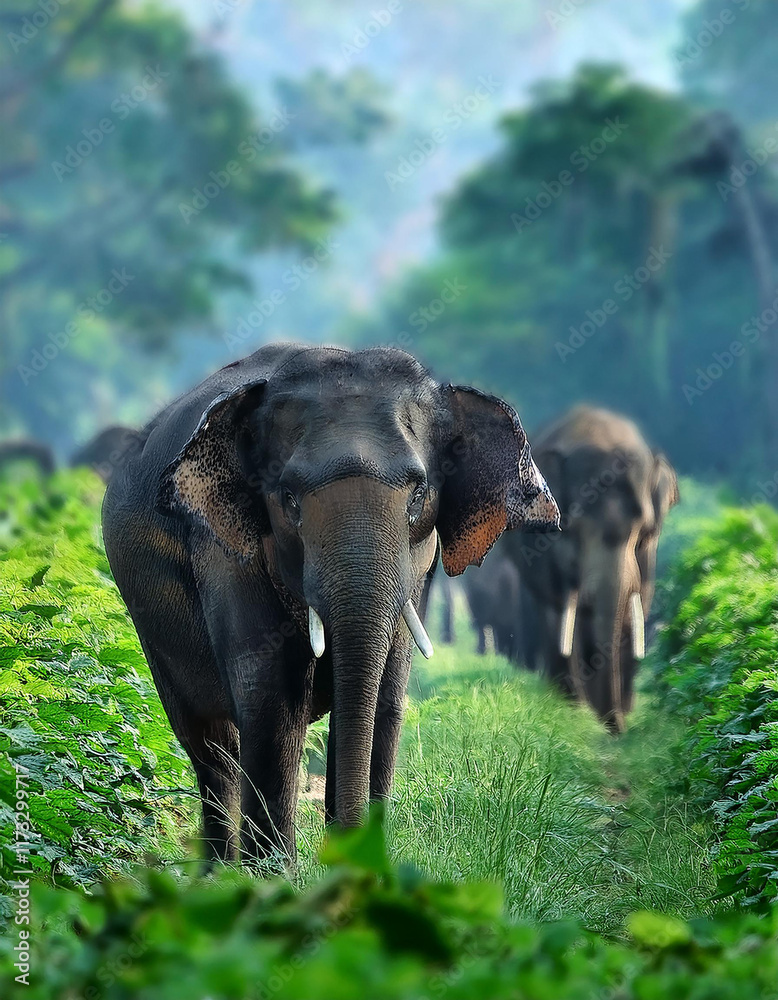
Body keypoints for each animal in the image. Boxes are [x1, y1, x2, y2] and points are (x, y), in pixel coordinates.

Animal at [102, 344, 559, 864]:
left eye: (418, 494)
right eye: (289, 500)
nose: (346, 851)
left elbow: (383, 693)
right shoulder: (223, 549)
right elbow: (272, 697)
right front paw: (274, 877)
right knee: (209, 743)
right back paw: (220, 871)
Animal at [502, 406, 678, 733]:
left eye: (645, 530)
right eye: (572, 529)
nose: (617, 728)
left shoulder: (648, 557)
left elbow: (637, 605)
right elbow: (558, 613)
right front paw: (573, 712)